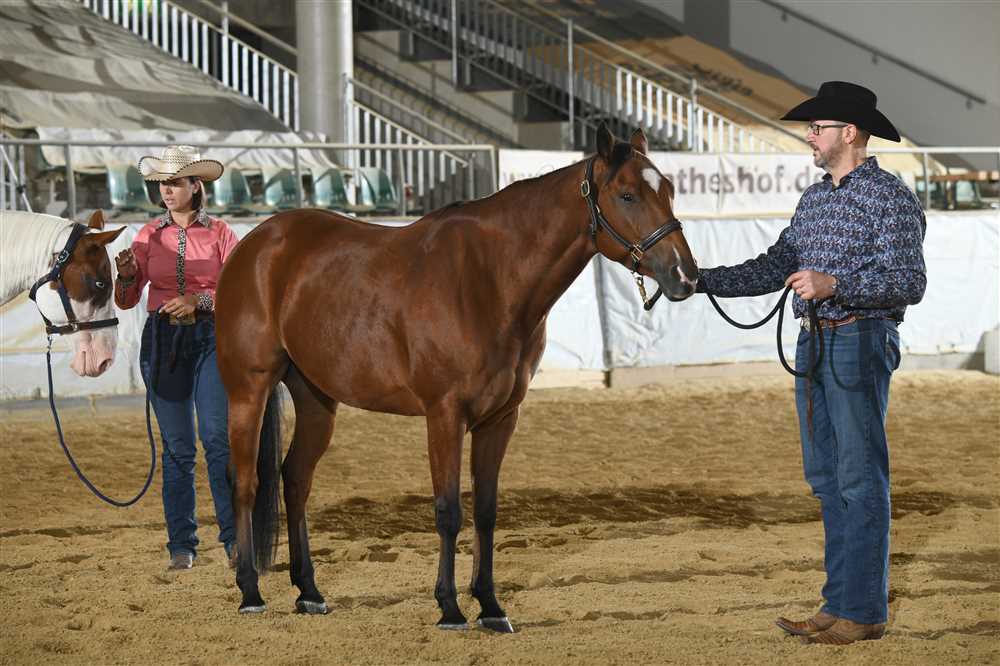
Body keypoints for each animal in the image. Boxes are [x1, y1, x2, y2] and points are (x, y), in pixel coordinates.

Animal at [214, 124, 699, 629]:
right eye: (627, 195)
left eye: (668, 189)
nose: (685, 276)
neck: (490, 279)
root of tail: (255, 243)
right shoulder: (445, 414)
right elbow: (449, 510)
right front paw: (449, 606)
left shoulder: (500, 419)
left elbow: (485, 510)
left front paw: (490, 605)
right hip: (248, 388)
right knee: (244, 481)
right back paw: (250, 590)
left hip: (315, 399)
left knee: (295, 480)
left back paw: (308, 591)